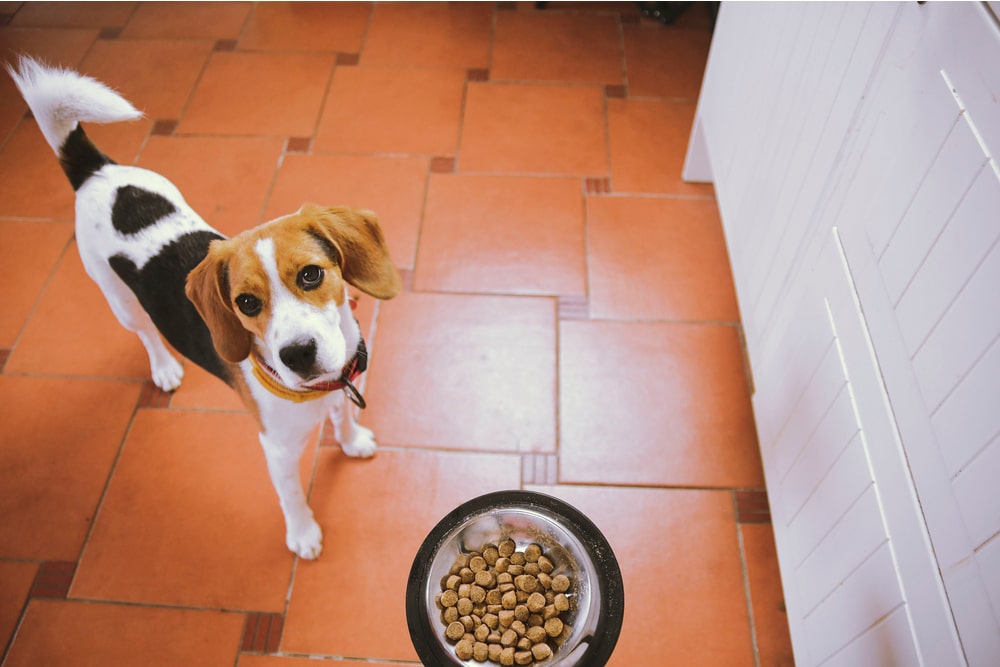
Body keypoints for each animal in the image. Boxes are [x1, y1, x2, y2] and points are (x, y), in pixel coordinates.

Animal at [7, 56, 400, 560]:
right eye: (246, 303)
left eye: (311, 275)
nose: (298, 354)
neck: (317, 388)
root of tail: (96, 171)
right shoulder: (276, 450)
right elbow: (291, 495)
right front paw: (303, 533)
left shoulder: (342, 388)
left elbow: (344, 416)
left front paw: (351, 441)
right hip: (116, 297)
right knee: (146, 332)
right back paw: (164, 367)